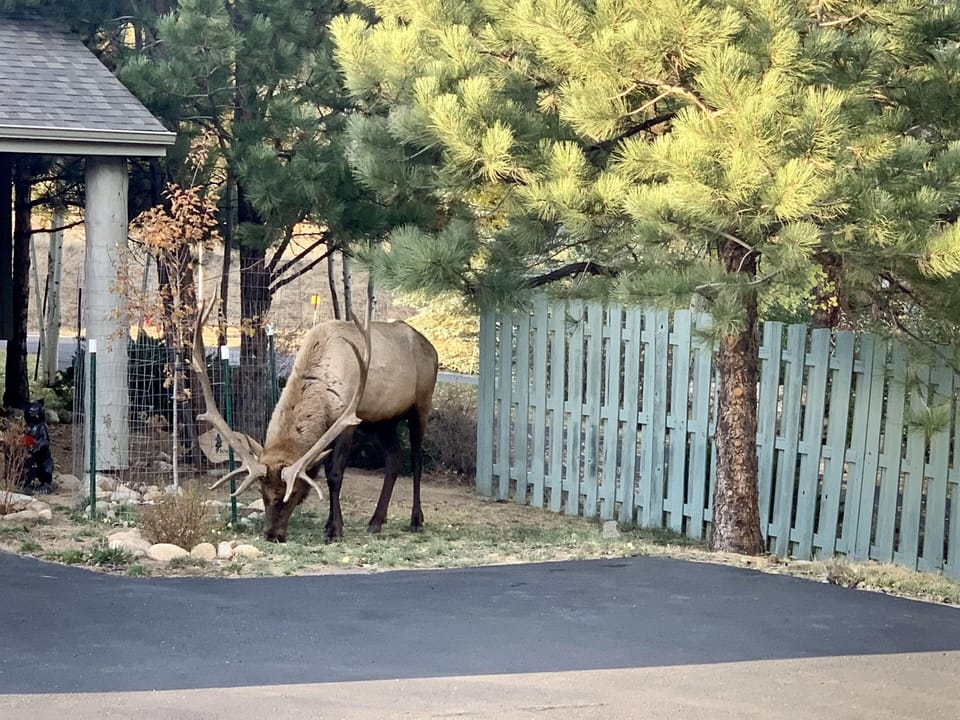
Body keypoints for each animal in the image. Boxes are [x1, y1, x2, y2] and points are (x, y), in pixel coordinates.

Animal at [190, 302, 439, 543]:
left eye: (292, 494)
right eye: (262, 492)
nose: (272, 534)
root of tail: (432, 349)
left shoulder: (347, 421)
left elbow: (334, 475)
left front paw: (335, 531)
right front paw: (329, 525)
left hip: (421, 405)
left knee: (416, 461)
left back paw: (416, 521)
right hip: (384, 421)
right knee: (394, 459)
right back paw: (376, 521)